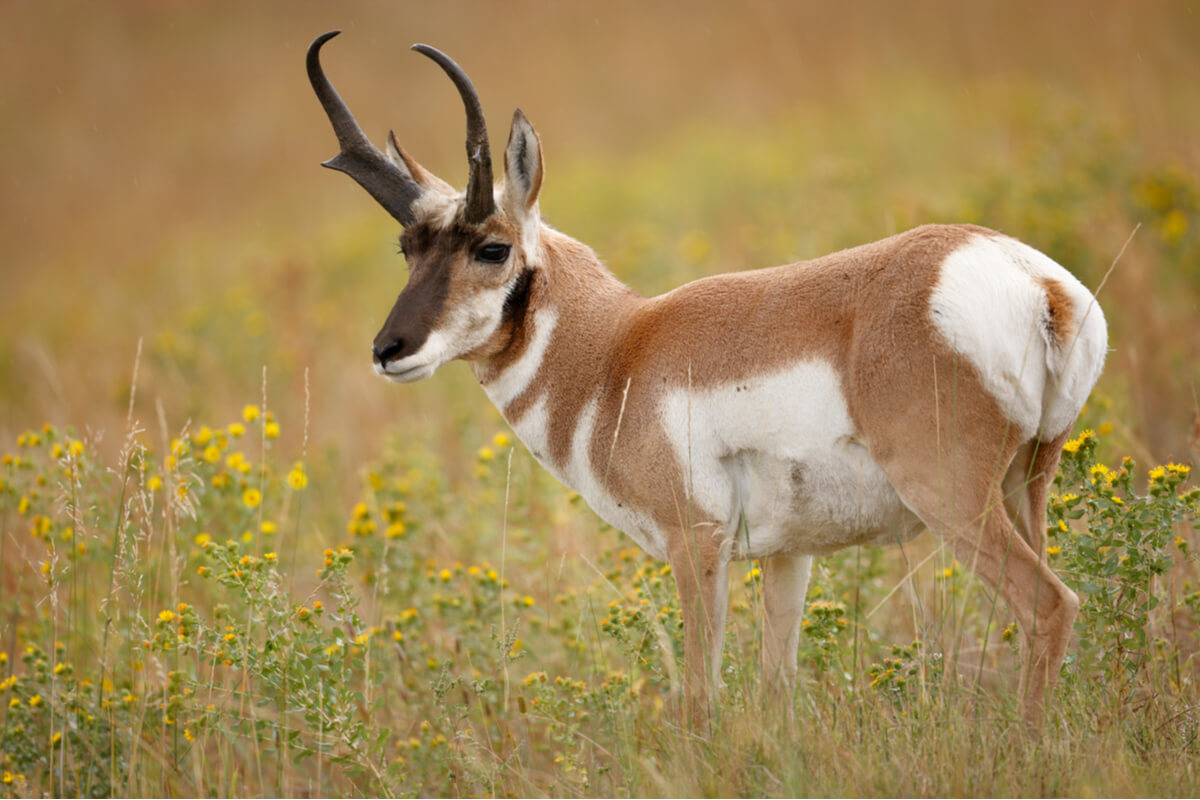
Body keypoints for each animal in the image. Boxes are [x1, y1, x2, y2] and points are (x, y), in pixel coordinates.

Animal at [306, 31, 1107, 726]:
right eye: (408, 247)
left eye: (493, 248)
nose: (389, 348)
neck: (618, 351)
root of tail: (1034, 280)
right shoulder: (789, 557)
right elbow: (777, 690)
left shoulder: (696, 546)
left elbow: (700, 698)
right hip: (1026, 487)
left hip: (953, 502)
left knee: (1050, 606)